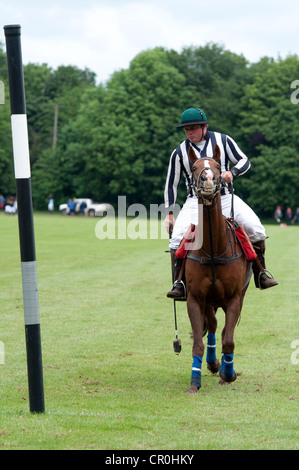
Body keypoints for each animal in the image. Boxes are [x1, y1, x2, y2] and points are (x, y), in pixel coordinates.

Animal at [186, 145, 252, 394]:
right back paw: (214, 364)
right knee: (213, 326)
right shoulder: (196, 298)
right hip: (210, 301)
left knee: (223, 331)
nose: (208, 179)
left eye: (217, 166)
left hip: (239, 296)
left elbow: (229, 339)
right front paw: (194, 383)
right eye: (195, 167)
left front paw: (229, 374)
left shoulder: (234, 298)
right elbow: (198, 342)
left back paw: (224, 369)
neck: (214, 249)